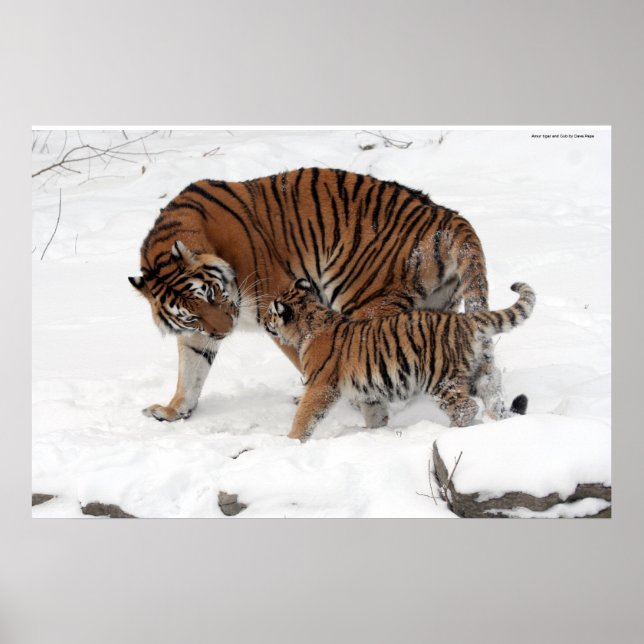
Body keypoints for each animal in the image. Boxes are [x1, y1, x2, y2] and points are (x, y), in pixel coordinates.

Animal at [129, 167, 514, 427]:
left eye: (210, 293)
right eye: (190, 314)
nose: (225, 331)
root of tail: (447, 216)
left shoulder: (278, 303)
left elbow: (309, 360)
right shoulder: (198, 334)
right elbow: (191, 370)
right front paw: (173, 411)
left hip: (365, 299)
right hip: (436, 307)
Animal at [264, 279, 535, 441]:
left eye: (270, 312)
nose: (265, 321)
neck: (310, 322)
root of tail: (466, 319)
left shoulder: (321, 386)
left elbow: (305, 415)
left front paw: (291, 440)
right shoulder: (368, 391)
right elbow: (375, 413)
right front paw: (374, 432)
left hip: (441, 379)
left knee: (466, 407)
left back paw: (448, 432)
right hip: (481, 373)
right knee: (494, 398)